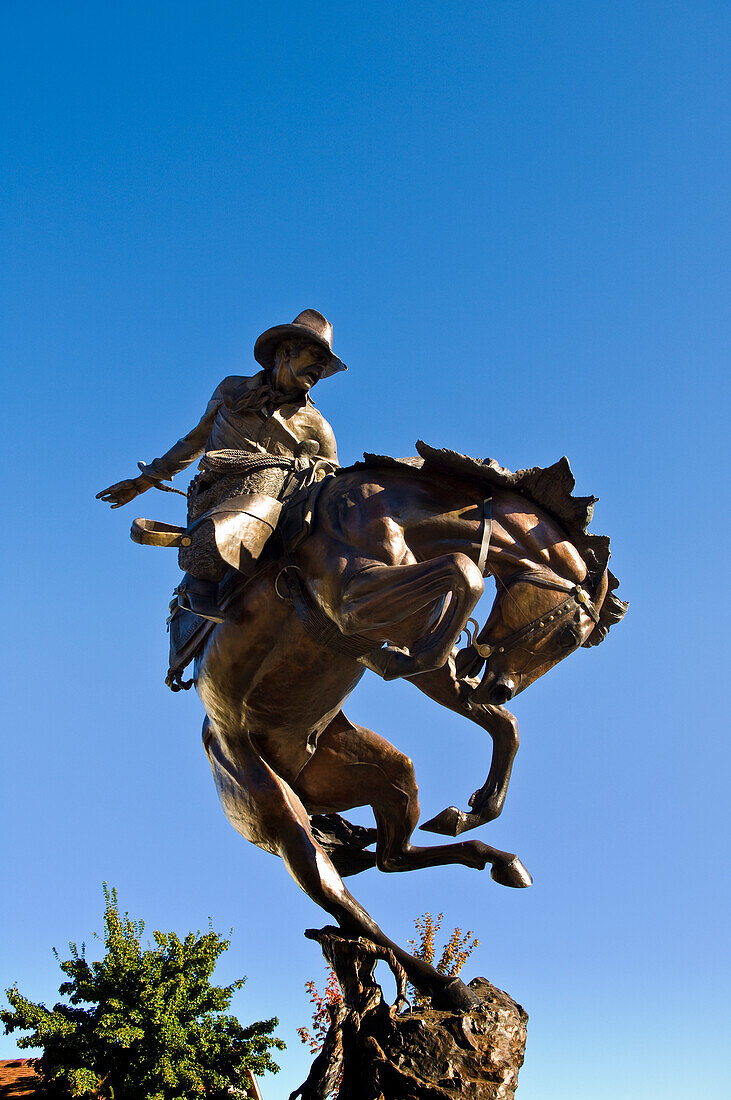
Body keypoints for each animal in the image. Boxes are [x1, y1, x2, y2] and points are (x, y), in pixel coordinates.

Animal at [169, 442, 619, 1007]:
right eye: (568, 637)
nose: (498, 686)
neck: (398, 513)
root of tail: (215, 743)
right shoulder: (352, 602)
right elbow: (466, 575)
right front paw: (405, 663)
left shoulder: (414, 628)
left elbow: (502, 723)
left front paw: (477, 808)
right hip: (280, 817)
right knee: (345, 900)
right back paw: (443, 985)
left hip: (377, 772)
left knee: (392, 856)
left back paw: (490, 856)